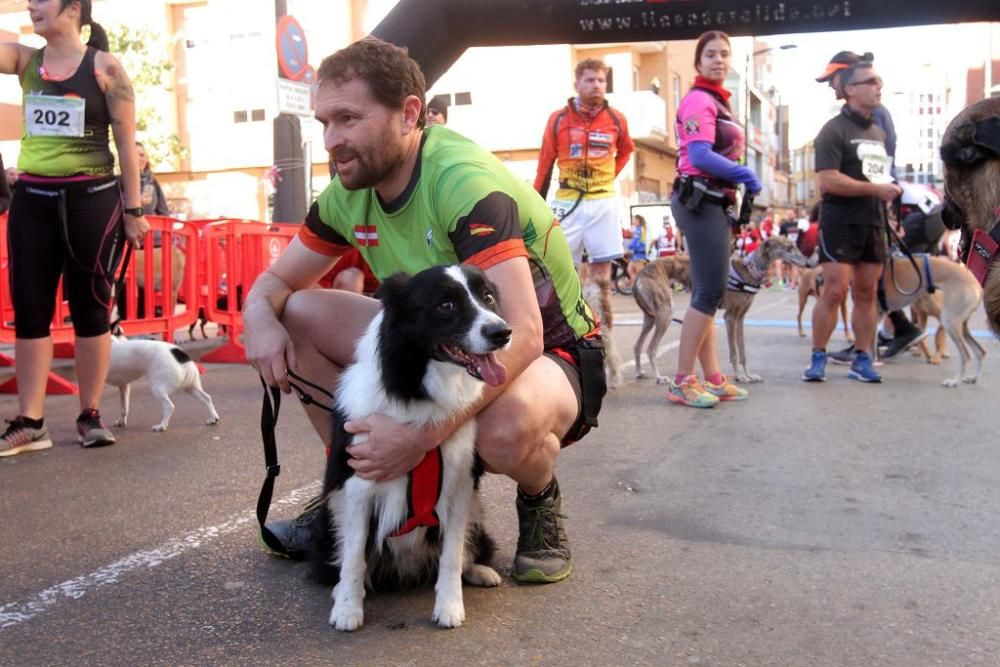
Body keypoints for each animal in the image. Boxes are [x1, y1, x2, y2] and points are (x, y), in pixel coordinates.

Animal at [312, 264, 512, 628]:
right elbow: (353, 556)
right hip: (330, 512)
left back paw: (479, 570)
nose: (502, 332)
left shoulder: (460, 485)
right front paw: (348, 609)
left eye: (488, 297)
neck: (415, 390)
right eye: (446, 305)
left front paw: (449, 606)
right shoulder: (358, 485)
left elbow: (451, 554)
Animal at [728, 236, 812, 384]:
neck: (749, 269)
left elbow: (742, 351)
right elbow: (734, 352)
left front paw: (748, 375)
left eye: (794, 246)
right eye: (789, 248)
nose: (808, 263)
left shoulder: (739, 317)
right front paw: (738, 376)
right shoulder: (730, 317)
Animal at [884, 253, 984, 386]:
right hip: (962, 326)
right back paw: (973, 378)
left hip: (949, 321)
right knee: (980, 352)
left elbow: (937, 336)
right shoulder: (921, 317)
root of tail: (978, 286)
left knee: (965, 355)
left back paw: (954, 381)